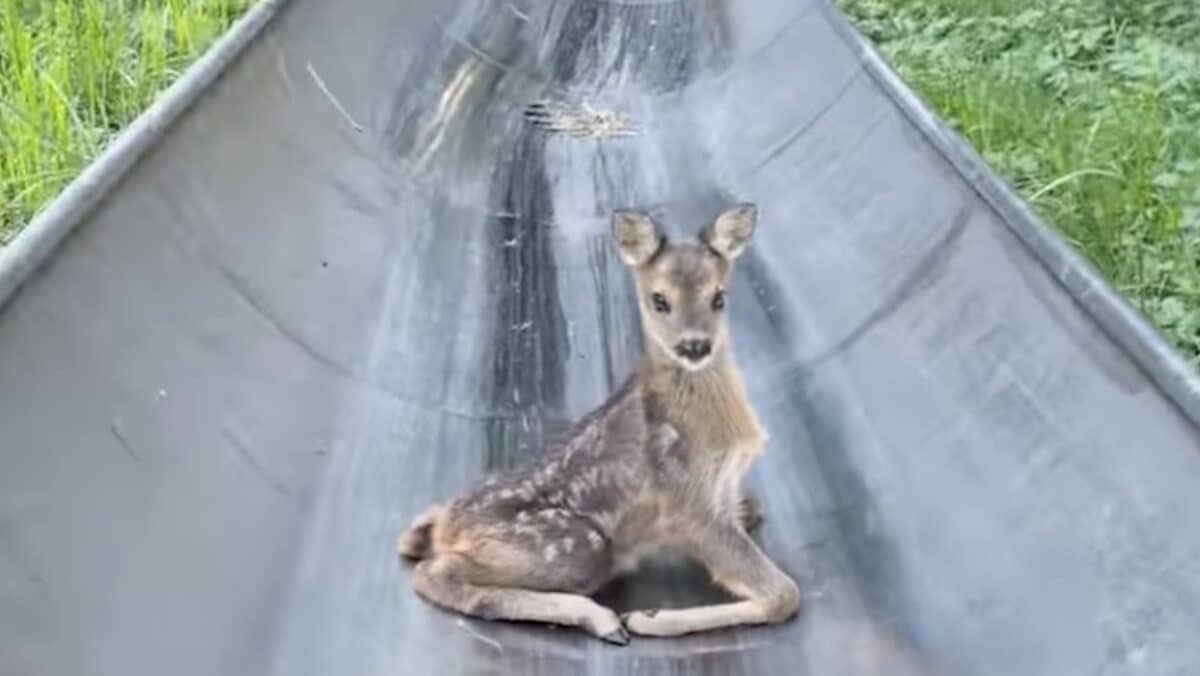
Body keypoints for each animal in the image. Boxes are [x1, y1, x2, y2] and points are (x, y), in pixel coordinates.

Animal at [397, 204, 800, 644]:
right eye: (659, 300)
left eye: (718, 297)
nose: (694, 345)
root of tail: (449, 525)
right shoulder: (687, 502)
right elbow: (784, 595)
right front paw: (649, 617)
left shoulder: (725, 490)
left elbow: (757, 514)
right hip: (579, 546)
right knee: (435, 572)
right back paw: (605, 620)